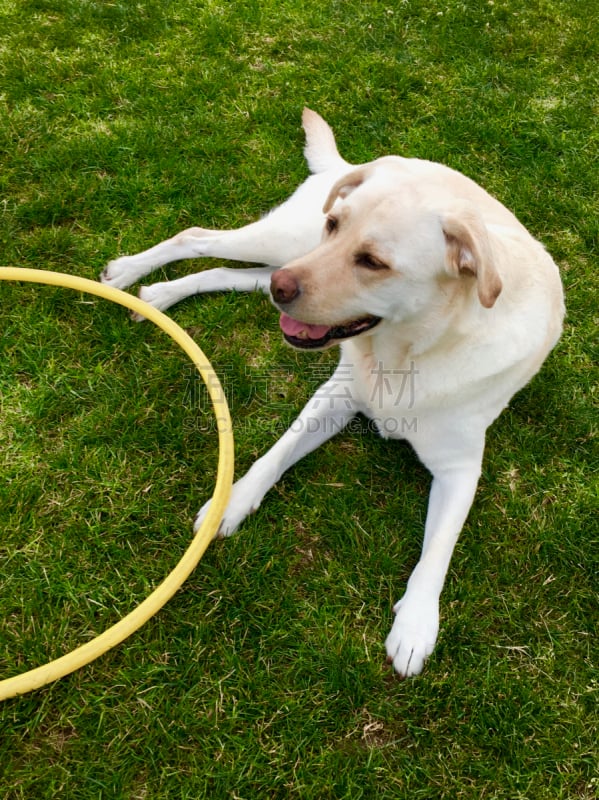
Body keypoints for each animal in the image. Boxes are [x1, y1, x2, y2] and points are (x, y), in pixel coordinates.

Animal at [101, 109, 564, 680]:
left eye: (373, 261)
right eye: (336, 226)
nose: (284, 288)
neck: (404, 354)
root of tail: (353, 163)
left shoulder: (461, 468)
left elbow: (438, 551)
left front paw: (416, 625)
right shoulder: (336, 395)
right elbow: (273, 456)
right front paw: (232, 500)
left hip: (275, 264)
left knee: (226, 270)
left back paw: (159, 295)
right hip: (284, 244)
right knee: (197, 236)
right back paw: (129, 273)